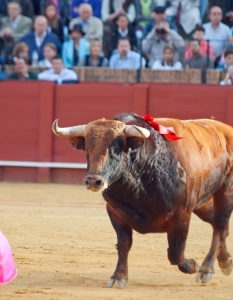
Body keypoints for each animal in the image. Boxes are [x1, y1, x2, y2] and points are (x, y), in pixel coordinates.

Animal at [52, 113, 233, 288]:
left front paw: (192, 265)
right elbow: (124, 244)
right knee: (219, 225)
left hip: (225, 192)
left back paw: (206, 270)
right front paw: (119, 276)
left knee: (219, 225)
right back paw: (225, 261)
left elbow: (175, 252)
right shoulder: (115, 212)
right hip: (203, 202)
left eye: (115, 149)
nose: (92, 181)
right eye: (87, 148)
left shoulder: (182, 213)